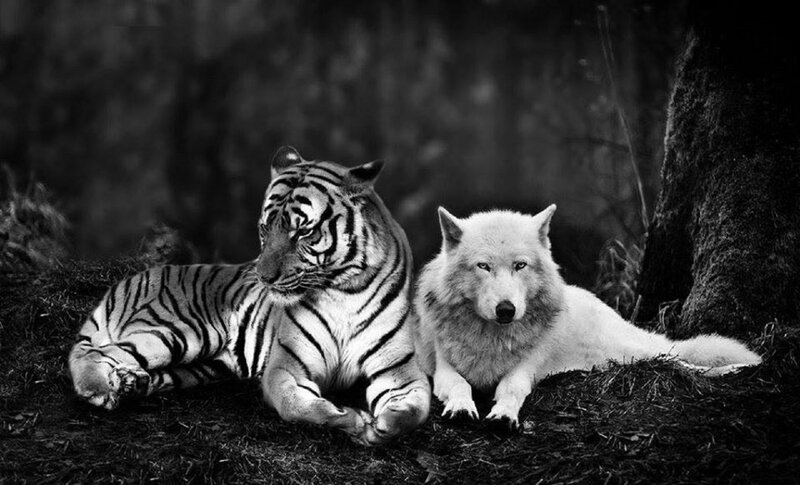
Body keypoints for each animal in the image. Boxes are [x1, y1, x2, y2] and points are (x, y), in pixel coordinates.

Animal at [68, 146, 431, 445]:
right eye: (265, 228)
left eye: (303, 231)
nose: (264, 277)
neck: (344, 290)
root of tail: (129, 279)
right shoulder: (285, 368)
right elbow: (301, 407)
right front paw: (354, 421)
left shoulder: (400, 371)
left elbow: (415, 411)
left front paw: (383, 426)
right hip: (180, 330)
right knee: (92, 352)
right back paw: (98, 390)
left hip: (204, 366)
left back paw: (131, 383)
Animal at [414, 205, 762, 430]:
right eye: (483, 266)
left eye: (520, 265)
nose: (506, 309)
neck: (492, 339)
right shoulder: (443, 368)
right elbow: (459, 385)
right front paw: (462, 408)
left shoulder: (526, 369)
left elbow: (511, 388)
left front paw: (504, 416)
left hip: (632, 352)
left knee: (680, 361)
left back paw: (738, 368)